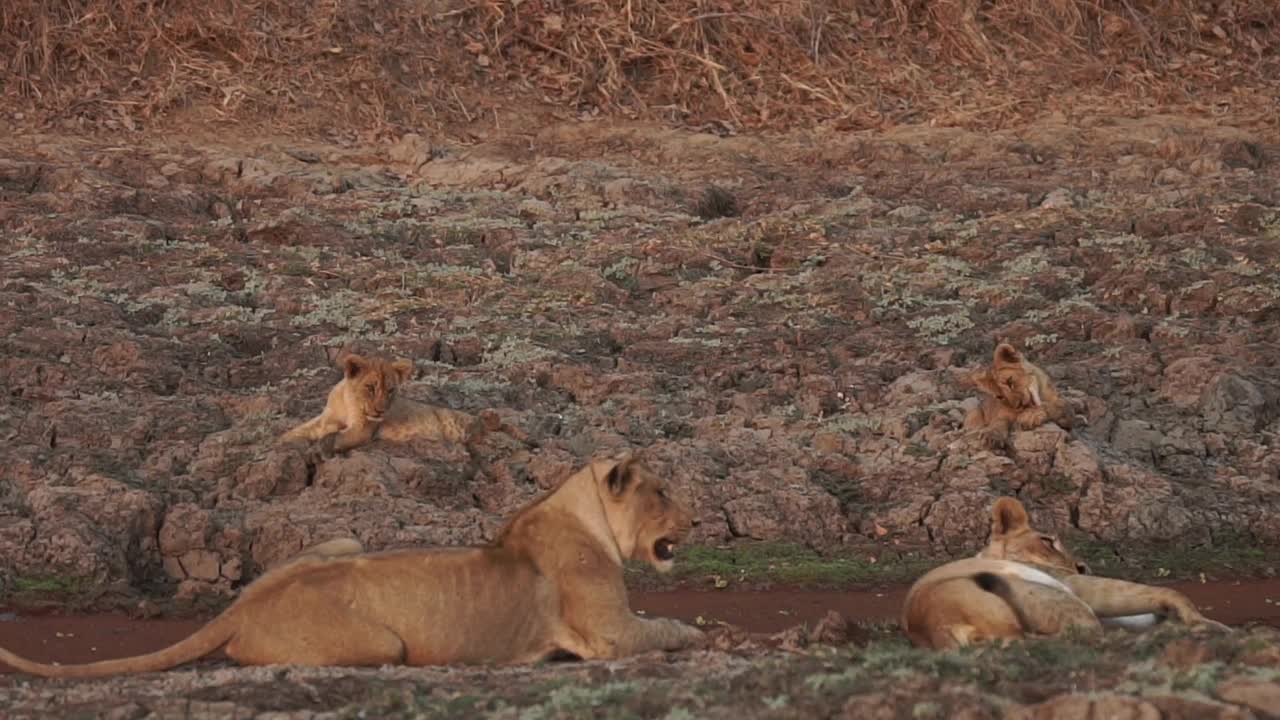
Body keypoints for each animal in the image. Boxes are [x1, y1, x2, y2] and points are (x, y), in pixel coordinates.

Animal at [0, 450, 701, 676]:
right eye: (663, 491)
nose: (695, 521)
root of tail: (242, 605)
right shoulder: (608, 634)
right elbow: (671, 628)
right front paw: (706, 634)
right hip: (382, 644)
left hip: (343, 539)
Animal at [282, 348, 527, 453]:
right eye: (370, 387)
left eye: (390, 390)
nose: (380, 411)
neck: (347, 402)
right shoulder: (324, 420)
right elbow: (297, 432)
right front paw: (281, 442)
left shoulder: (363, 430)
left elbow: (336, 437)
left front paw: (320, 448)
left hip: (465, 424)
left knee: (493, 427)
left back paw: (490, 418)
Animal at [901, 497, 1228, 648]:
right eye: (1048, 541)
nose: (1084, 566)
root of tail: (941, 625)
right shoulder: (1079, 585)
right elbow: (1165, 592)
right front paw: (1209, 624)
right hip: (1053, 597)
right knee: (1088, 634)